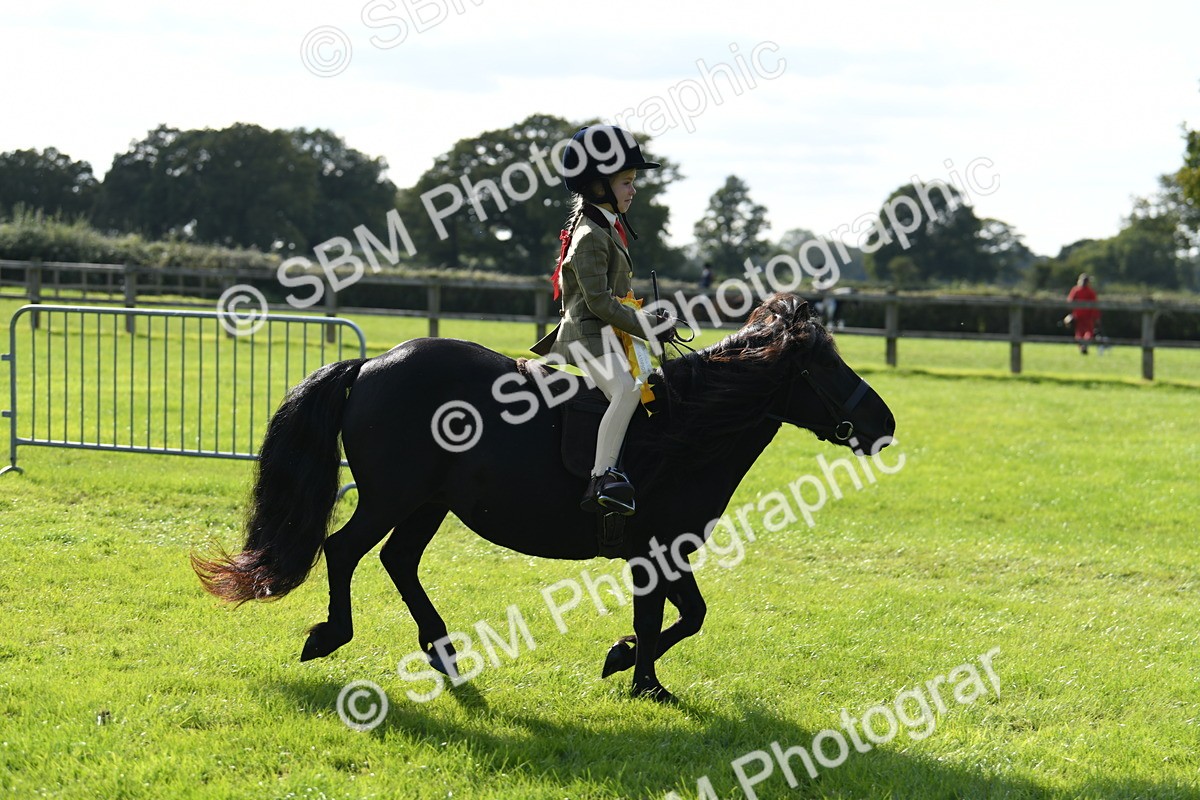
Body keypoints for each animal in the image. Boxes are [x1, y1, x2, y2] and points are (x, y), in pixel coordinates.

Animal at [192, 293, 896, 703]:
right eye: (825, 367)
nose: (885, 425)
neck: (685, 427)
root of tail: (370, 364)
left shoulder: (663, 553)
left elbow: (682, 616)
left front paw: (628, 665)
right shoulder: (658, 551)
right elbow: (671, 618)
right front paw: (640, 679)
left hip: (428, 504)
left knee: (398, 562)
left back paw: (445, 655)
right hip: (394, 497)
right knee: (345, 552)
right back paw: (332, 635)